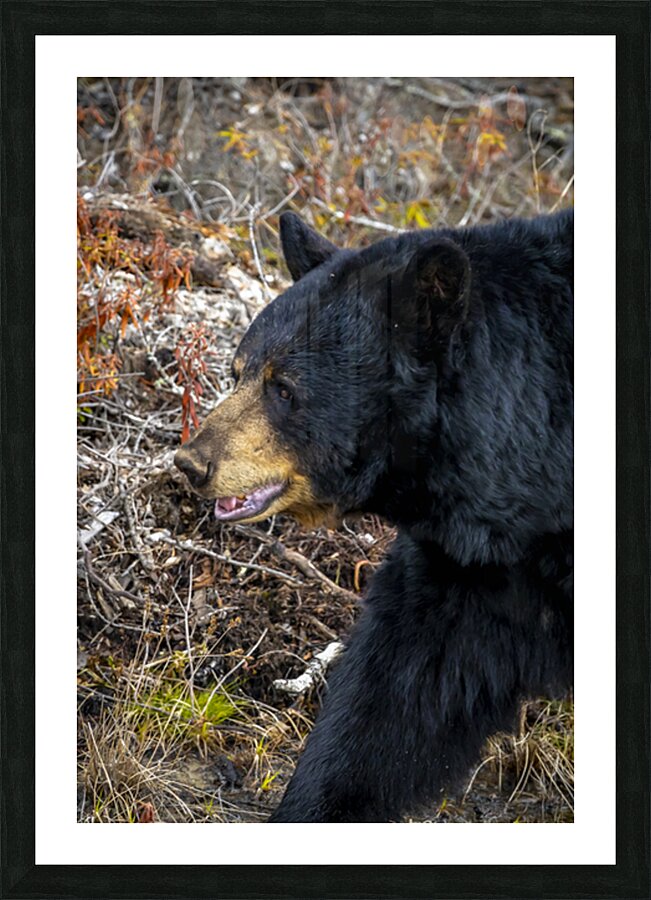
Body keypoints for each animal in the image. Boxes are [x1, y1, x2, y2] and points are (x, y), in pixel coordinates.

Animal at [174, 208, 574, 822]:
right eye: (238, 369)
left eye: (283, 388)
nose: (193, 463)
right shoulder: (478, 564)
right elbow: (404, 686)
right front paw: (316, 803)